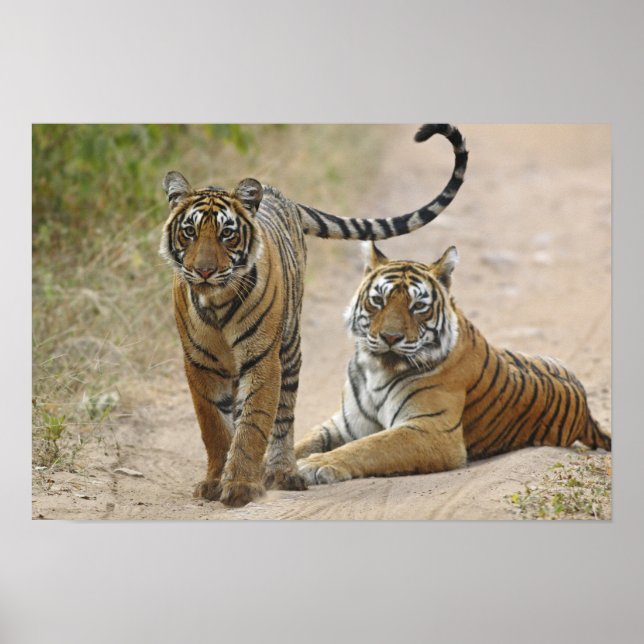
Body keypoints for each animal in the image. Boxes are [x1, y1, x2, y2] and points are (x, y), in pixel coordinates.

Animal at [159, 124, 469, 507]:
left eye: (226, 234)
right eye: (189, 231)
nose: (203, 271)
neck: (216, 301)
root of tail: (282, 196)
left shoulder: (262, 359)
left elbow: (253, 424)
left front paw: (241, 486)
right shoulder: (198, 363)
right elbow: (214, 427)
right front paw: (215, 482)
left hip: (289, 348)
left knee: (283, 416)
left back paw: (282, 473)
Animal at [295, 243, 611, 485]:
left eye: (418, 306)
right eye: (378, 300)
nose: (390, 337)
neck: (377, 370)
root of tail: (586, 411)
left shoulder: (432, 430)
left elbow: (369, 446)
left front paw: (315, 465)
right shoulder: (343, 425)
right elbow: (302, 442)